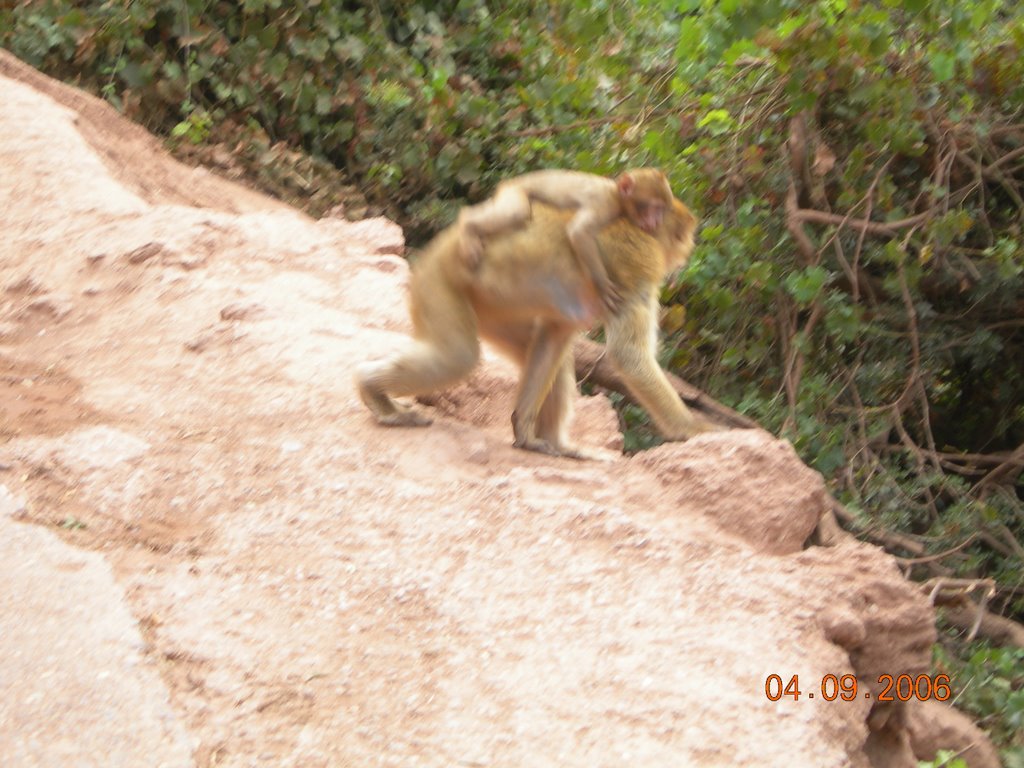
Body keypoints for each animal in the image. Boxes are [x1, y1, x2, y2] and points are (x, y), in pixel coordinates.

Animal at [356, 195, 716, 460]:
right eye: (683, 235)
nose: (687, 250)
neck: (642, 229)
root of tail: (442, 244)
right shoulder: (640, 264)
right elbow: (628, 354)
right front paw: (694, 429)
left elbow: (556, 330)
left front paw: (525, 433)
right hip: (439, 281)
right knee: (456, 358)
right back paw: (372, 389)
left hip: (492, 311)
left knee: (546, 353)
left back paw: (556, 443)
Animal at [456, 167, 671, 313]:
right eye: (653, 207)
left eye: (661, 210)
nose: (657, 221)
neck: (617, 196)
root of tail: (511, 181)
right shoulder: (605, 204)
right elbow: (579, 232)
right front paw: (602, 287)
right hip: (514, 191)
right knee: (517, 213)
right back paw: (467, 224)